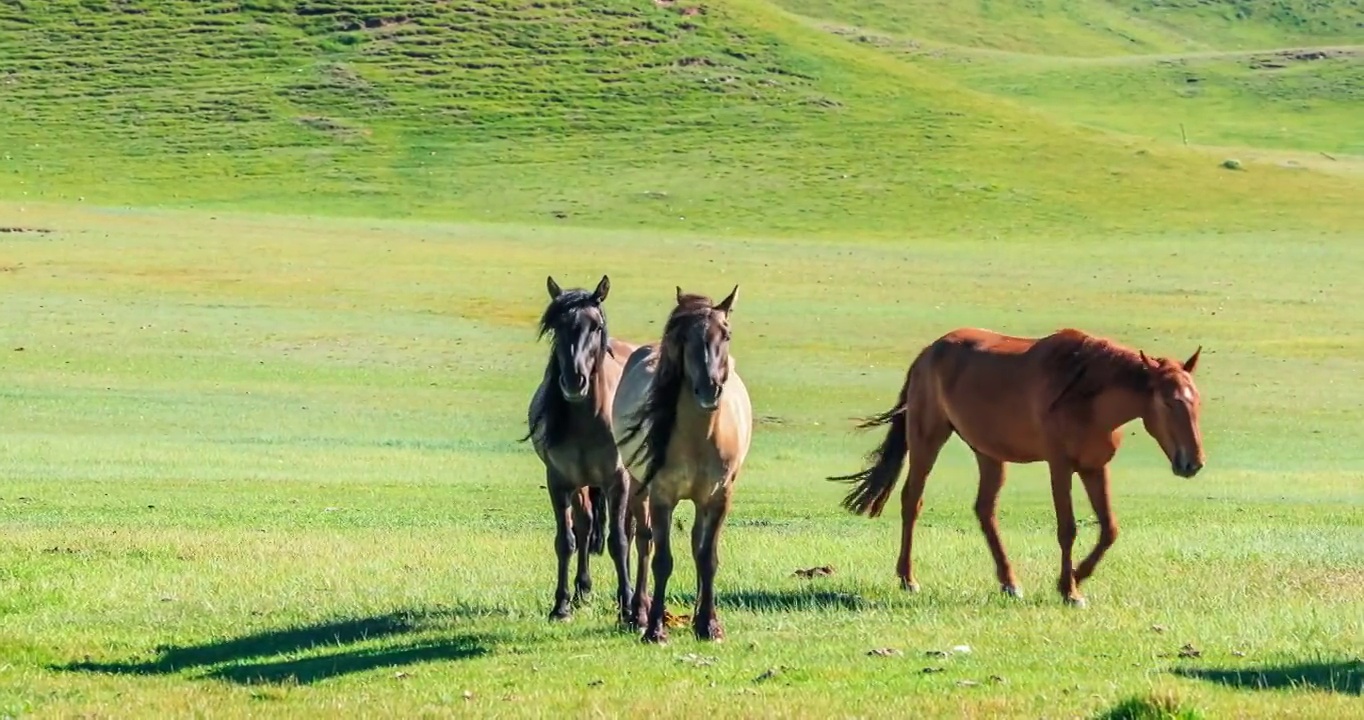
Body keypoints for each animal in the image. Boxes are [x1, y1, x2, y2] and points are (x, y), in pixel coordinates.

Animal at [526, 275, 643, 624]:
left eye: (596, 326)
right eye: (557, 326)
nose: (574, 381)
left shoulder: (618, 480)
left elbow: (619, 541)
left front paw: (627, 606)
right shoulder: (559, 481)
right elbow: (566, 541)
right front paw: (561, 606)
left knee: (630, 531)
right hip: (582, 485)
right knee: (585, 523)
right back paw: (582, 590)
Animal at [619, 285, 758, 640]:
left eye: (726, 334)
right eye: (684, 339)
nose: (710, 389)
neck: (700, 438)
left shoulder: (719, 497)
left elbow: (707, 558)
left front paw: (709, 624)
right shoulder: (662, 496)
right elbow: (662, 560)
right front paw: (655, 629)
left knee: (697, 543)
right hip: (639, 488)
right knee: (644, 543)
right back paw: (638, 614)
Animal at [829, 327, 1205, 608]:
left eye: (1196, 400)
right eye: (1168, 402)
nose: (1193, 462)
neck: (1087, 392)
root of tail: (927, 353)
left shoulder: (1094, 468)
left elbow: (1109, 529)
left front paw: (1075, 577)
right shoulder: (1060, 466)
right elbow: (1067, 529)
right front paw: (1070, 590)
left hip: (989, 455)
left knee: (985, 511)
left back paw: (1009, 582)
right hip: (927, 441)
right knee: (912, 501)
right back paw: (908, 578)